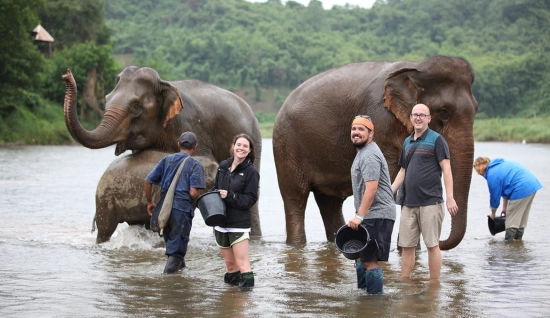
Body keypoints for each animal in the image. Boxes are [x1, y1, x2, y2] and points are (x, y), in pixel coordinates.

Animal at [61, 67, 264, 241]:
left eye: (136, 106)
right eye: (106, 99)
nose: (66, 74)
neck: (164, 85)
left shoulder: (192, 127)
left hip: (254, 140)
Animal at [274, 55, 478, 248]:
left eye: (476, 109)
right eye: (444, 111)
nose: (441, 242)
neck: (416, 68)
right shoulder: (380, 121)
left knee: (329, 201)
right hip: (286, 144)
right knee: (296, 196)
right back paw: (297, 244)